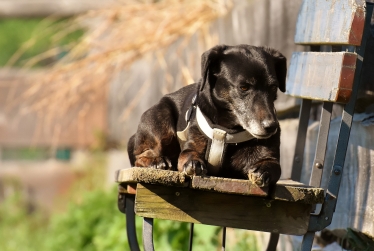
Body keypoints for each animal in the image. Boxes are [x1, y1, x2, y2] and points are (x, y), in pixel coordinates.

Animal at [126, 44, 286, 186]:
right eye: (243, 87)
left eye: (273, 87)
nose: (271, 127)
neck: (228, 130)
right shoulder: (190, 147)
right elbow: (189, 154)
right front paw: (193, 163)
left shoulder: (270, 157)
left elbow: (274, 167)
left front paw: (263, 171)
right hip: (160, 119)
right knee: (139, 157)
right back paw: (157, 161)